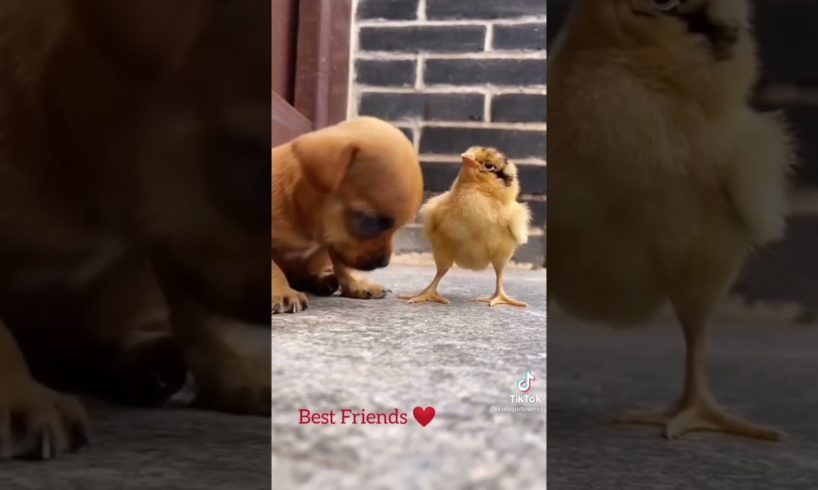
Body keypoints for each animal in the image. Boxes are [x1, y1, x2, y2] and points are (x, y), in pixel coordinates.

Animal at [274, 117, 424, 312]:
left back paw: (325, 280)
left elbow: (342, 265)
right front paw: (282, 292)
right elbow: (274, 268)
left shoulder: (334, 241)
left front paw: (357, 284)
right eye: (371, 222)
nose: (384, 263)